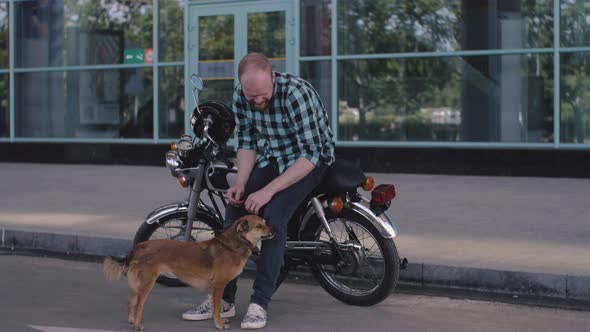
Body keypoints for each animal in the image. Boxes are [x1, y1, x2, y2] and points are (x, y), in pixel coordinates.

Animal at [104, 214, 276, 330]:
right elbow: (216, 308)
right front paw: (219, 324)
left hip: (139, 283)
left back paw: (131, 320)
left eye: (265, 223)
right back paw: (137, 325)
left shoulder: (217, 286)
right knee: (139, 304)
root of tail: (139, 247)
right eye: (258, 226)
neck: (234, 244)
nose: (274, 231)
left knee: (131, 300)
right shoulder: (219, 285)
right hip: (147, 282)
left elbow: (216, 306)